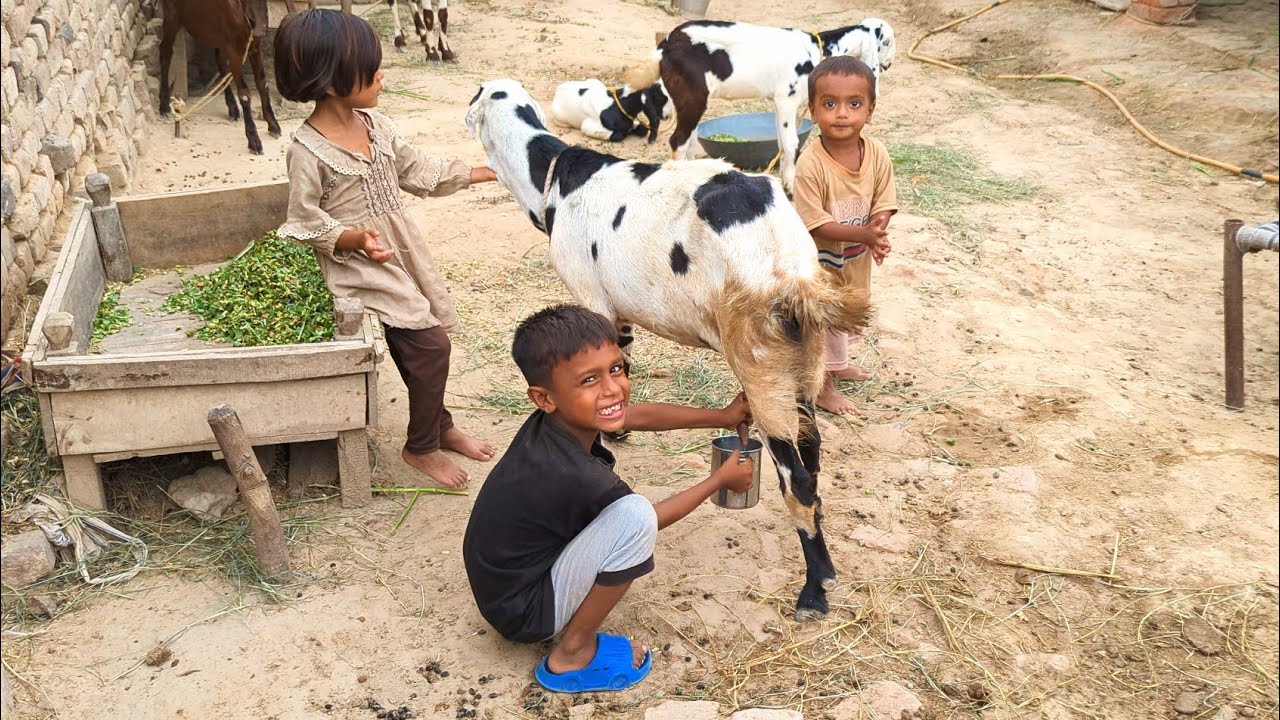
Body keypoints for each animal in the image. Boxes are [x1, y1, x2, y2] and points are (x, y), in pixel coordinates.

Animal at [159, 0, 281, 155]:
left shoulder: (254, 45)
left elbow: (263, 84)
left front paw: (273, 125)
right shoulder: (234, 48)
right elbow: (244, 94)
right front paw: (254, 140)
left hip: (219, 34)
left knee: (220, 61)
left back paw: (233, 108)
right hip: (172, 15)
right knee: (165, 51)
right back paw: (163, 106)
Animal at [466, 79, 871, 622]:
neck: (555, 179)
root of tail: (793, 270)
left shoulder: (589, 294)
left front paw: (604, 443)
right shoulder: (616, 313)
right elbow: (620, 356)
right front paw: (616, 433)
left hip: (759, 357)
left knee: (798, 480)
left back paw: (814, 590)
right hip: (802, 355)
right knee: (814, 454)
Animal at [625, 18, 895, 193]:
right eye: (887, 42)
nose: (889, 64)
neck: (817, 52)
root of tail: (668, 42)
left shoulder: (778, 104)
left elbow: (781, 144)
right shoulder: (787, 99)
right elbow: (791, 144)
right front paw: (791, 189)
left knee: (688, 142)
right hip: (694, 97)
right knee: (678, 141)